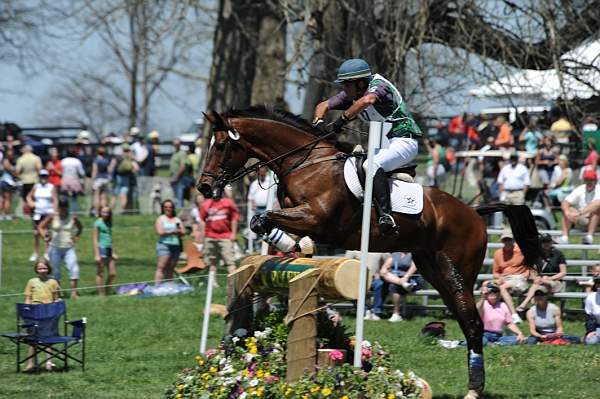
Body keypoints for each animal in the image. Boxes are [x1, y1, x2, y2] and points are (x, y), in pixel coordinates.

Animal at [197, 106, 540, 399]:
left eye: (220, 146)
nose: (203, 188)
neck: (307, 163)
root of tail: (474, 212)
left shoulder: (317, 219)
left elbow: (262, 218)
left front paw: (297, 245)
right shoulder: (300, 217)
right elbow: (265, 224)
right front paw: (296, 248)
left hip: (456, 271)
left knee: (473, 323)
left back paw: (474, 388)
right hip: (434, 270)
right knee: (465, 320)